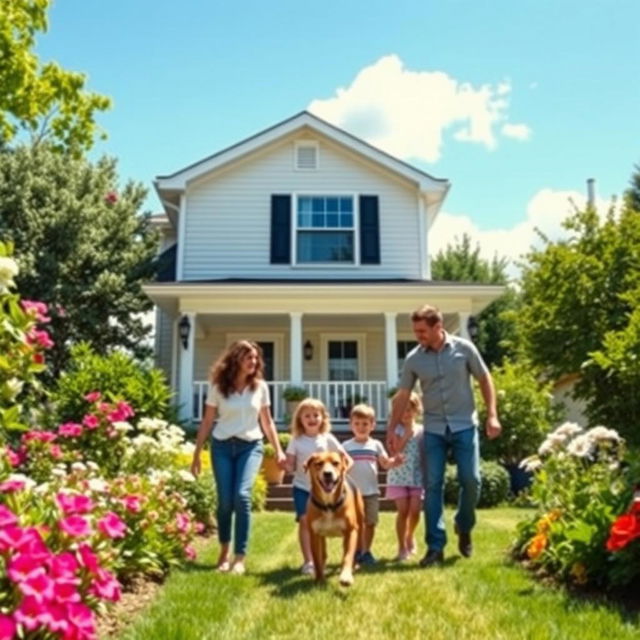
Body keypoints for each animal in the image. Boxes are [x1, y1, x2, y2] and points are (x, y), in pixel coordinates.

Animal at [302, 450, 362, 584]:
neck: (328, 505)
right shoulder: (314, 534)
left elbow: (348, 555)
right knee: (323, 554)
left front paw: (346, 575)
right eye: (319, 463)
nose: (327, 474)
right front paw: (319, 579)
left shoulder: (351, 531)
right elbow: (317, 558)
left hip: (361, 524)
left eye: (335, 463)